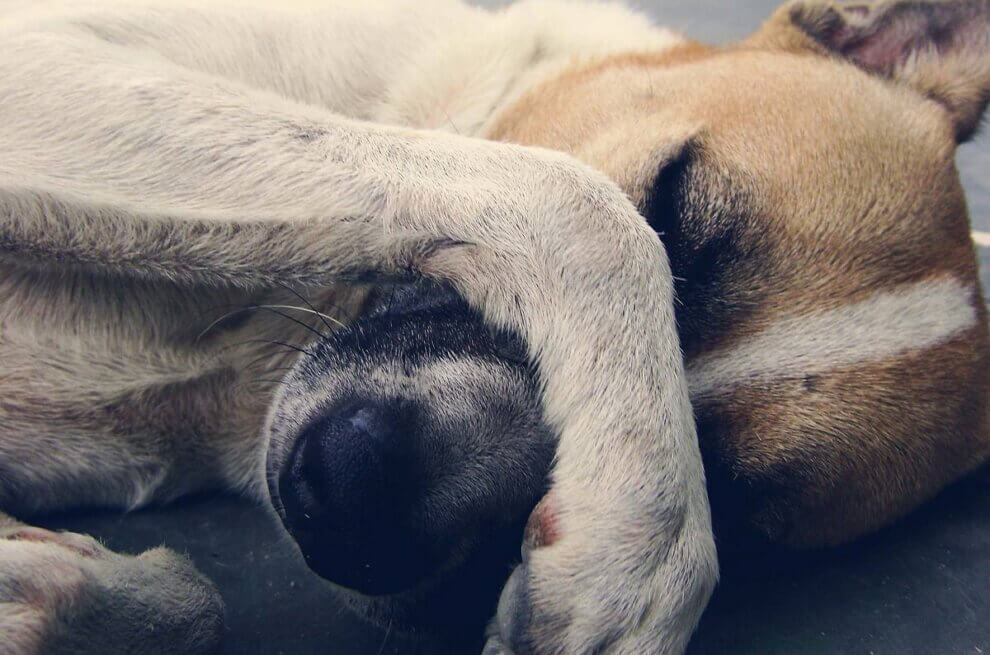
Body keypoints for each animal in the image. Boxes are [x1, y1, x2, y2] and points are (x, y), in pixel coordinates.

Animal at [1, 0, 990, 652]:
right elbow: (578, 204)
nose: (354, 504)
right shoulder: (36, 61)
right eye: (674, 201)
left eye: (744, 511)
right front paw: (637, 544)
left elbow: (191, 597)